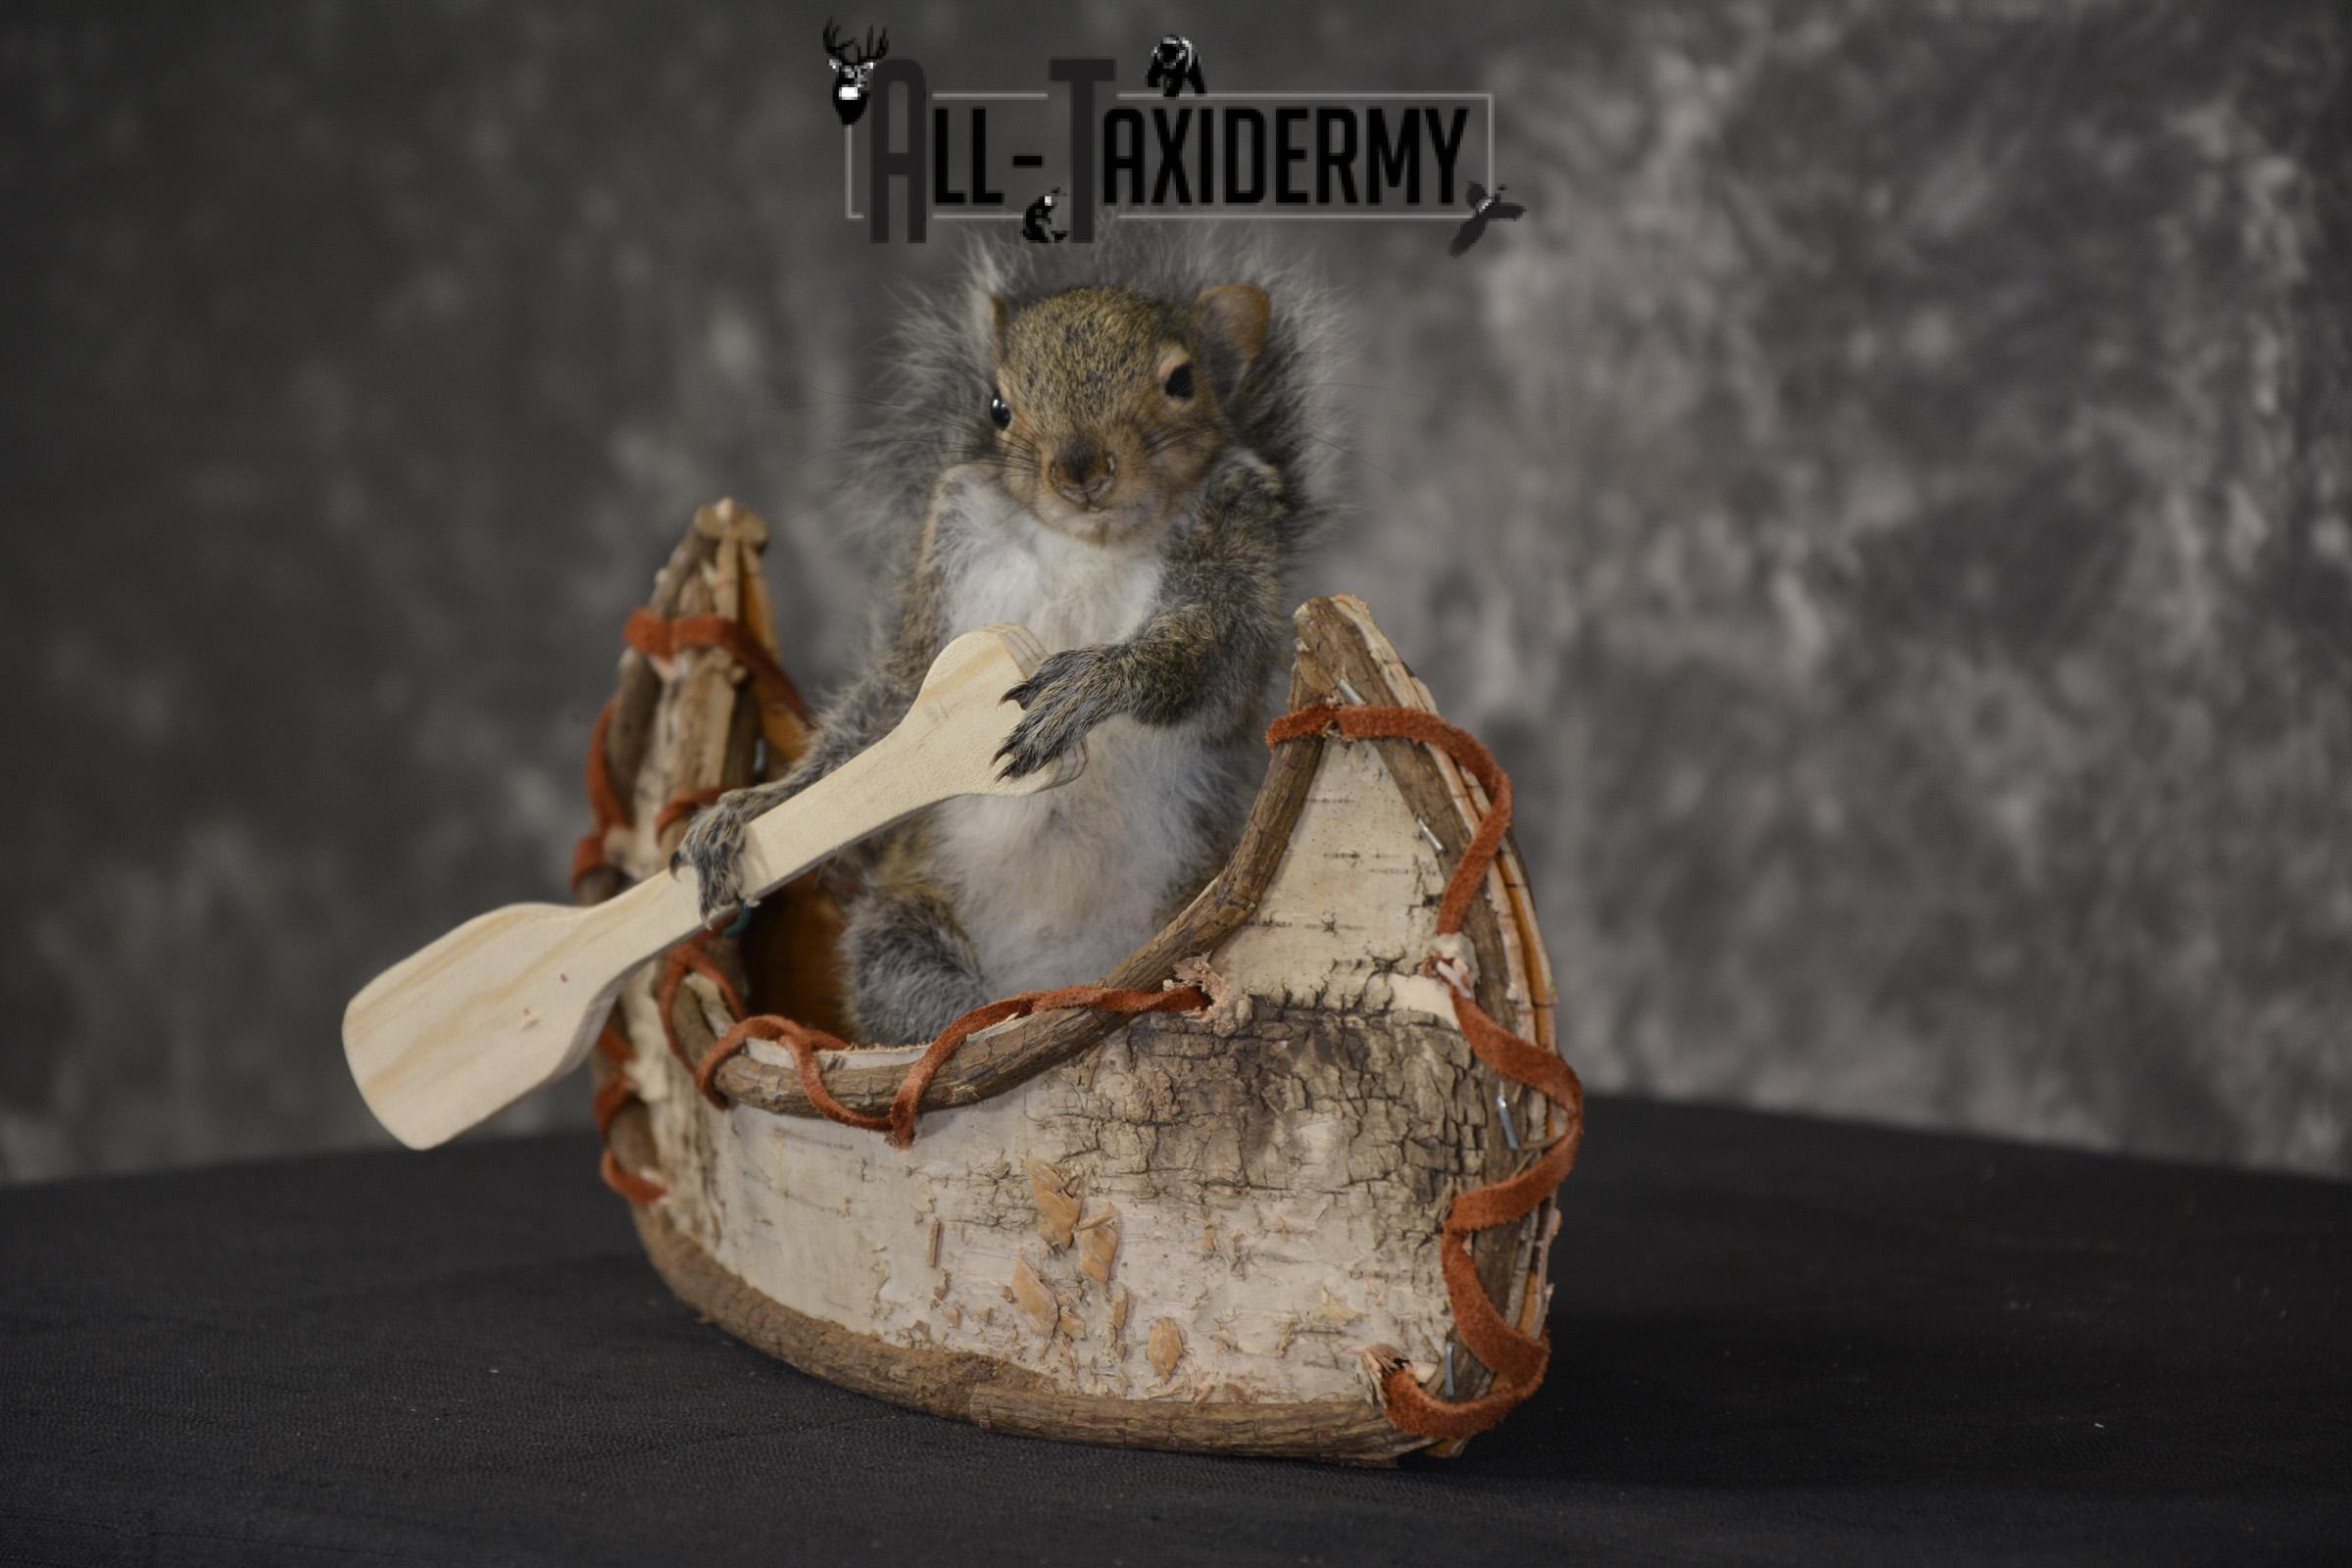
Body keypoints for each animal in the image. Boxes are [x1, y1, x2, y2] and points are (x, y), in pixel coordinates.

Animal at [677, 232, 1341, 1042]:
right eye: (997, 405)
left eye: (1182, 381)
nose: (1079, 469)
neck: (1089, 540)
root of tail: (1050, 975)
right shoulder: (946, 575)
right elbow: (889, 712)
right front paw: (756, 806)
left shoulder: (1235, 552)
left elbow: (1208, 655)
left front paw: (1092, 684)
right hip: (902, 933)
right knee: (920, 998)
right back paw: (982, 1021)